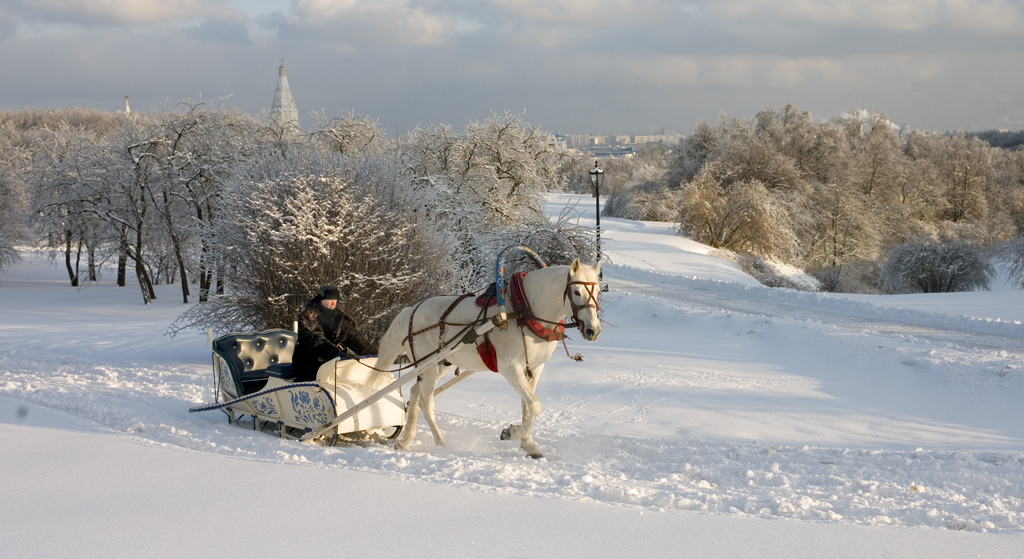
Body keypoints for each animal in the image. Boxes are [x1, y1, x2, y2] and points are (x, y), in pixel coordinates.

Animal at [374, 259, 598, 454]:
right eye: (576, 291)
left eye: (598, 290)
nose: (592, 330)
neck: (523, 312)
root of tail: (411, 310)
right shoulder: (510, 368)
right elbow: (535, 405)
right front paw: (512, 433)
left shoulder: (534, 367)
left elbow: (527, 406)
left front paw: (528, 444)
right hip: (428, 366)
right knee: (425, 402)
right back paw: (441, 443)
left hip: (438, 364)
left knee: (414, 394)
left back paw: (405, 441)